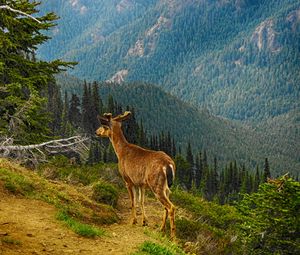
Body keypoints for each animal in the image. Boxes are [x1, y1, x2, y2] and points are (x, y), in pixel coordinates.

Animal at [95, 111, 176, 239]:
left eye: (104, 126)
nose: (96, 132)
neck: (120, 152)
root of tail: (168, 164)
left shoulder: (128, 180)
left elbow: (132, 201)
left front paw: (133, 221)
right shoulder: (141, 183)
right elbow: (141, 201)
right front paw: (144, 221)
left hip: (156, 183)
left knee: (171, 207)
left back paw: (173, 237)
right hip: (166, 186)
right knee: (166, 207)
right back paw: (161, 229)